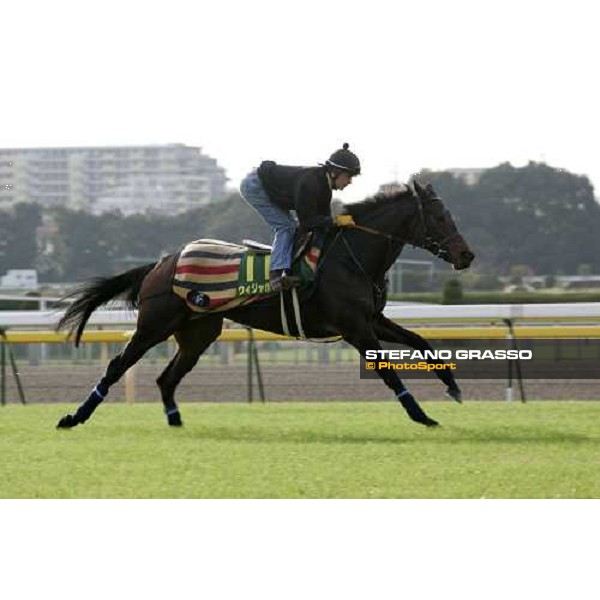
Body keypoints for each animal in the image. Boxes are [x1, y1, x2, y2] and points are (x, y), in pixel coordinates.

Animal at [58, 180, 476, 428]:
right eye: (439, 216)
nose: (466, 255)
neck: (351, 256)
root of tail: (162, 262)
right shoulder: (354, 327)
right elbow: (388, 371)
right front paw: (420, 414)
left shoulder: (372, 319)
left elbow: (422, 341)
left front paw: (453, 388)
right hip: (154, 326)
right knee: (118, 366)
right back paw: (75, 417)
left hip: (198, 333)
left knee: (168, 377)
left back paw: (176, 422)